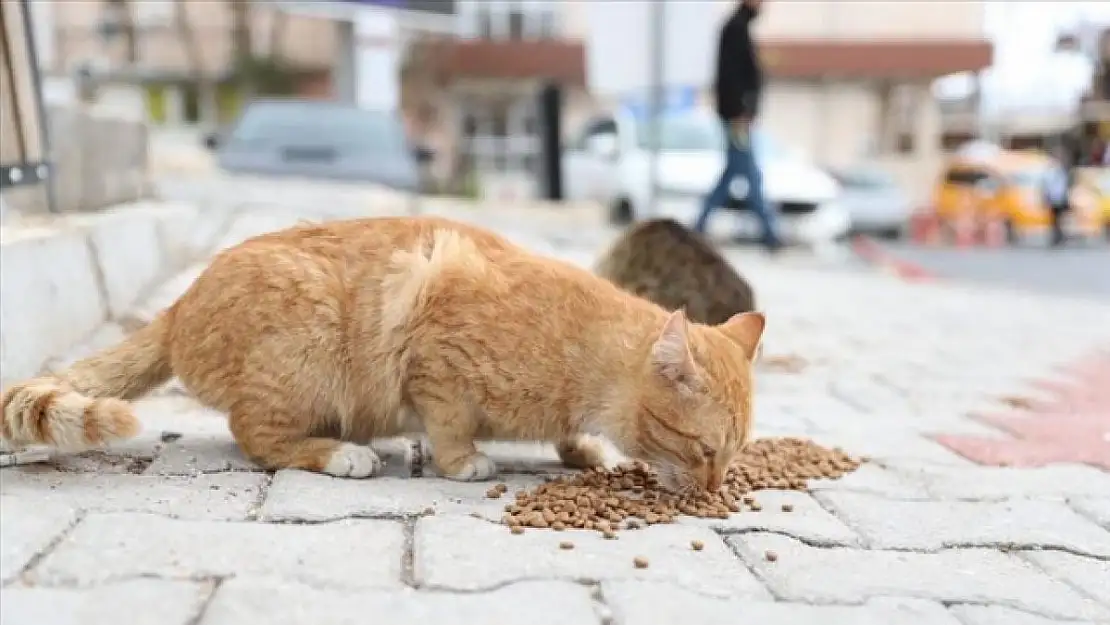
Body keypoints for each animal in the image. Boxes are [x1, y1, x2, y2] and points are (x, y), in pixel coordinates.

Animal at [2, 217, 763, 490]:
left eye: (731, 455)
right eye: (704, 450)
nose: (715, 488)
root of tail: (180, 305)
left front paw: (580, 448)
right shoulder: (438, 359)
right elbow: (451, 425)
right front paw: (464, 462)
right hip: (305, 348)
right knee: (257, 436)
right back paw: (345, 452)